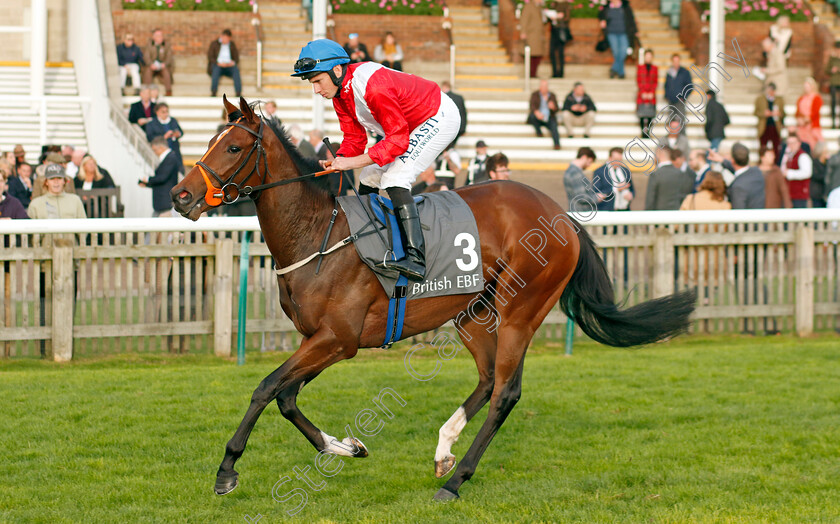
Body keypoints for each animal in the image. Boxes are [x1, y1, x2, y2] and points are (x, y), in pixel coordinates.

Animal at [171, 96, 696, 502]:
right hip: (473, 314)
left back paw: (456, 479)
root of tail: (560, 214)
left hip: (521, 310)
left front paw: (227, 471)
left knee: (506, 392)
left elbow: (265, 389)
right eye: (210, 141)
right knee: (488, 380)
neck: (318, 236)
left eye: (233, 146)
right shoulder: (323, 340)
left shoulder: (337, 339)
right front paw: (347, 447)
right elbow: (286, 397)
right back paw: (444, 450)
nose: (180, 195)